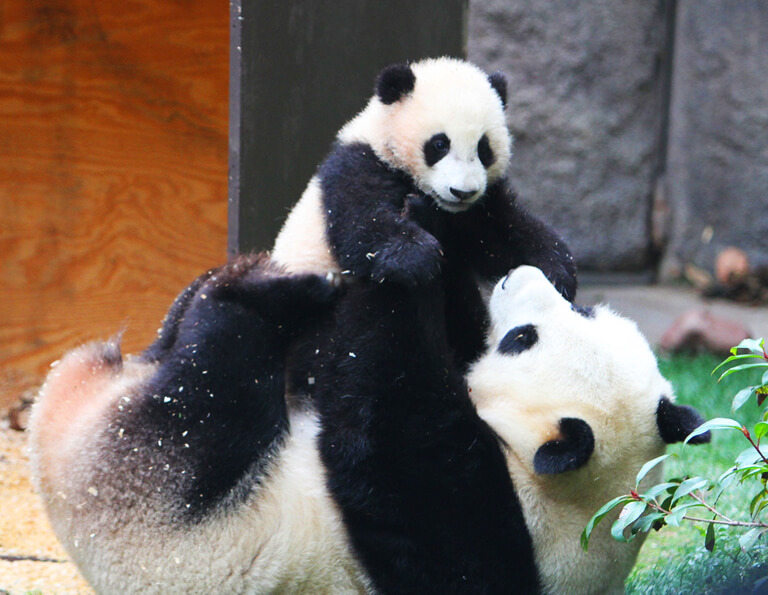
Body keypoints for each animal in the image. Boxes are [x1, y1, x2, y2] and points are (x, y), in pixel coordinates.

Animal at [31, 260, 712, 595]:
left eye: (522, 339)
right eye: (584, 306)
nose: (517, 274)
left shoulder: (481, 527)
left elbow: (388, 428)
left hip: (157, 492)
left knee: (209, 381)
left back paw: (254, 292)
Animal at [272, 58, 576, 370]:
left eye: (484, 148)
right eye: (440, 144)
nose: (462, 191)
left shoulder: (478, 208)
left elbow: (502, 236)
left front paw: (556, 272)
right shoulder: (359, 166)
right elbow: (363, 226)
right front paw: (416, 257)